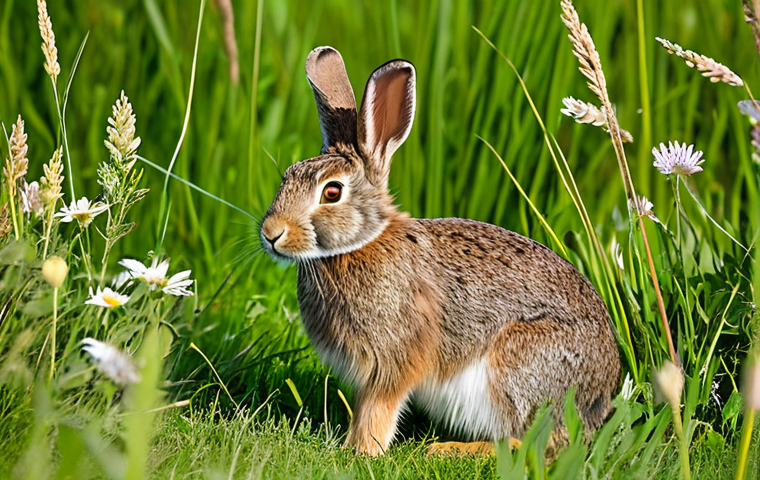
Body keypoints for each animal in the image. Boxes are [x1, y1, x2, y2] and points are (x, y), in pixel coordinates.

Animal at [260, 46, 621, 457]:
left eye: (332, 192)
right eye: (287, 175)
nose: (271, 234)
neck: (361, 242)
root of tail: (599, 398)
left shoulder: (394, 358)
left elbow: (377, 409)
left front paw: (363, 451)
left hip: (519, 366)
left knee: (540, 443)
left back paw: (451, 449)